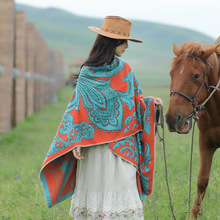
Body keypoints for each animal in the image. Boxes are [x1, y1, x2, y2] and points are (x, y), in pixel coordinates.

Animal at [166, 41, 219, 218]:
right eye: (171, 74)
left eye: (196, 76)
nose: (172, 118)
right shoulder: (205, 143)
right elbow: (202, 180)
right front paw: (194, 214)